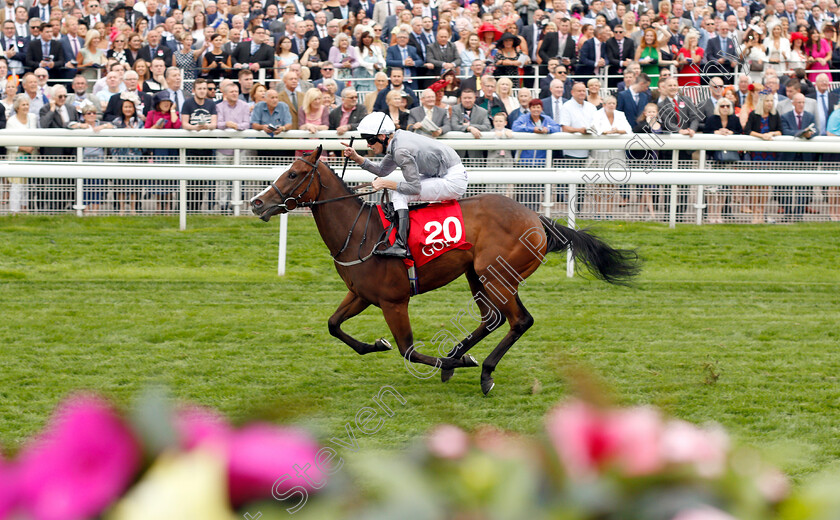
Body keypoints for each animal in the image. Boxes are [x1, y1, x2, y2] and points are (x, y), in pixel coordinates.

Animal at [251, 146, 644, 394]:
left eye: (294, 174)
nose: (257, 202)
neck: (359, 233)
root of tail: (538, 219)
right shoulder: (360, 294)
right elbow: (334, 325)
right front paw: (377, 344)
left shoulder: (394, 302)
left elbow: (408, 350)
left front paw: (454, 363)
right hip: (481, 276)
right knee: (496, 319)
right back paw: (461, 357)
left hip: (495, 275)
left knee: (517, 320)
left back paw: (479, 369)